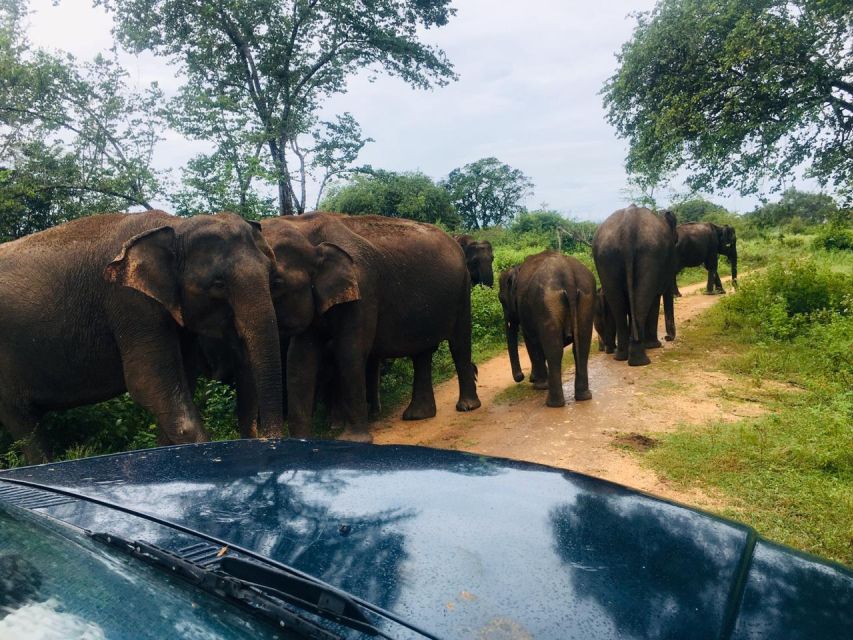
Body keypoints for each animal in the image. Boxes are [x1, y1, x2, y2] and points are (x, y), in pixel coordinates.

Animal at [0, 210, 286, 460]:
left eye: (272, 278)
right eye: (218, 284)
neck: (175, 226)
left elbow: (182, 381)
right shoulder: (130, 302)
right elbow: (149, 383)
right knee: (24, 424)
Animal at [262, 212, 482, 442]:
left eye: (276, 283)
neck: (303, 225)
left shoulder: (364, 289)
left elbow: (350, 352)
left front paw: (353, 440)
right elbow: (300, 361)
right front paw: (300, 442)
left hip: (462, 288)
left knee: (459, 343)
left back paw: (466, 407)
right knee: (422, 352)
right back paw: (417, 415)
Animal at [496, 250, 596, 404]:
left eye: (501, 299)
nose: (521, 376)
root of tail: (567, 274)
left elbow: (531, 342)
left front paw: (538, 384)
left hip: (546, 303)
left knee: (554, 349)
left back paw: (553, 403)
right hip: (586, 298)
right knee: (583, 345)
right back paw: (584, 396)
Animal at [592, 205, 680, 364]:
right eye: (675, 241)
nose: (668, 338)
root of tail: (628, 226)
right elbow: (655, 297)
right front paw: (654, 345)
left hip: (605, 256)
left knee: (618, 305)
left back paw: (621, 356)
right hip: (650, 253)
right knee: (643, 300)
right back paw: (640, 359)